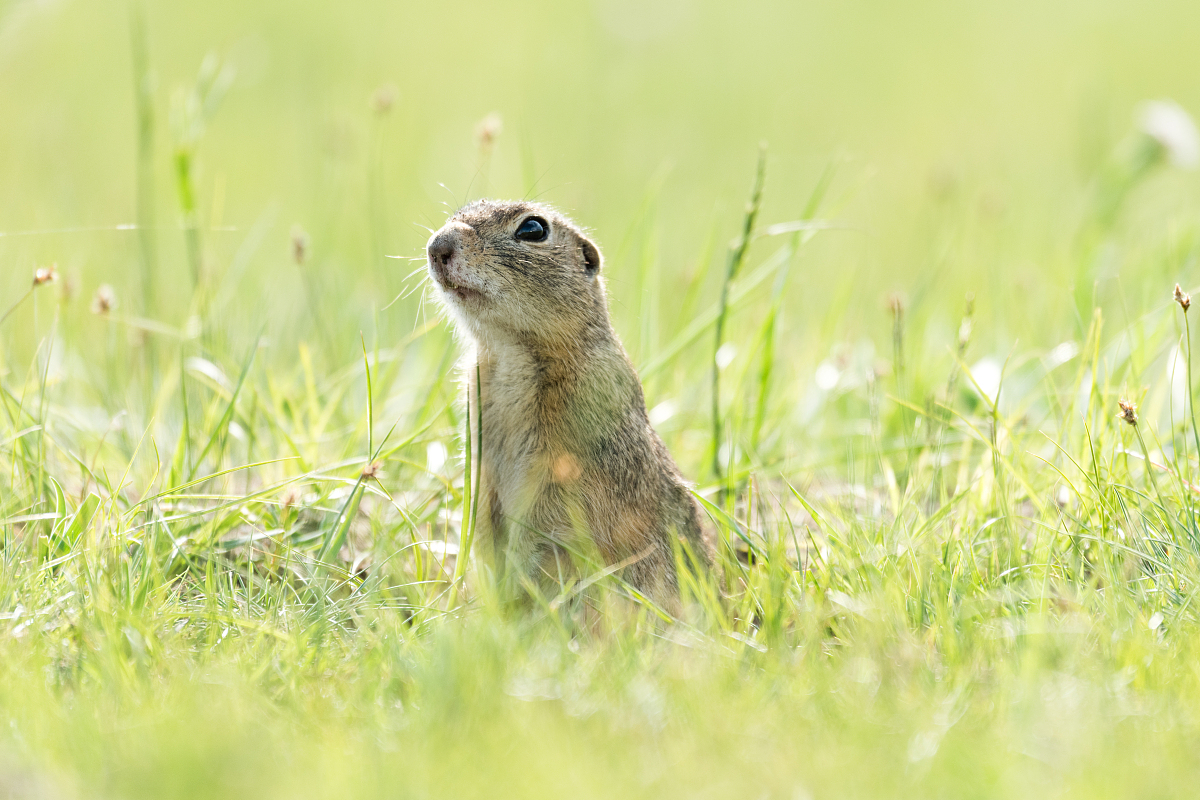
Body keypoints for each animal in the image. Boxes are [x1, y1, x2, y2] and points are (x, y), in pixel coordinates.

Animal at [427, 201, 710, 614]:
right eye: (460, 211)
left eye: (532, 229)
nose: (438, 246)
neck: (511, 350)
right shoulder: (480, 450)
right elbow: (481, 512)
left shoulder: (566, 462)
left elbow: (544, 524)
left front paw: (512, 588)